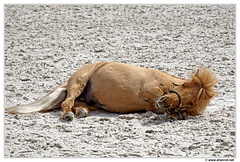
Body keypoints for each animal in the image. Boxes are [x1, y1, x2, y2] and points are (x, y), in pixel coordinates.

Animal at [5, 61, 218, 121]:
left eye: (191, 102)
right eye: (183, 86)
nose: (164, 102)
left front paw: (176, 113)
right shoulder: (150, 91)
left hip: (92, 101)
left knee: (77, 104)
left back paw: (81, 111)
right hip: (78, 84)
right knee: (67, 102)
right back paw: (68, 115)